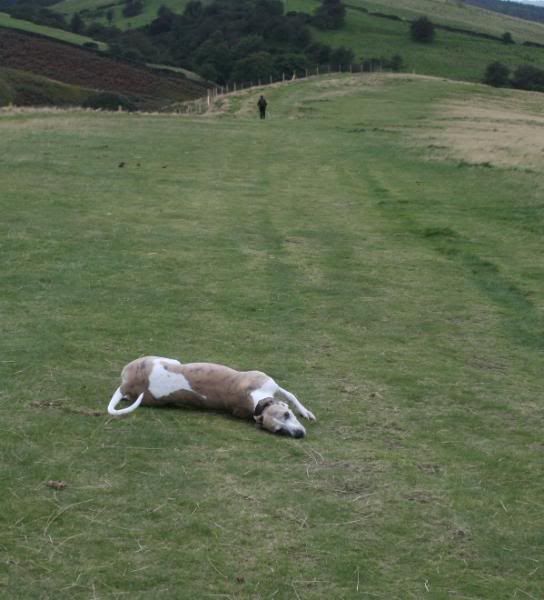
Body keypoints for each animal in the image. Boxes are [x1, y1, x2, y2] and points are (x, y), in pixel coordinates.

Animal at [107, 356, 314, 436]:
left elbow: (291, 397)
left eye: (287, 416)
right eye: (278, 430)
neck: (255, 403)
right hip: (168, 360)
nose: (299, 435)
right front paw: (306, 412)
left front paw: (305, 412)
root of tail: (125, 385)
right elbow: (292, 395)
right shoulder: (270, 384)